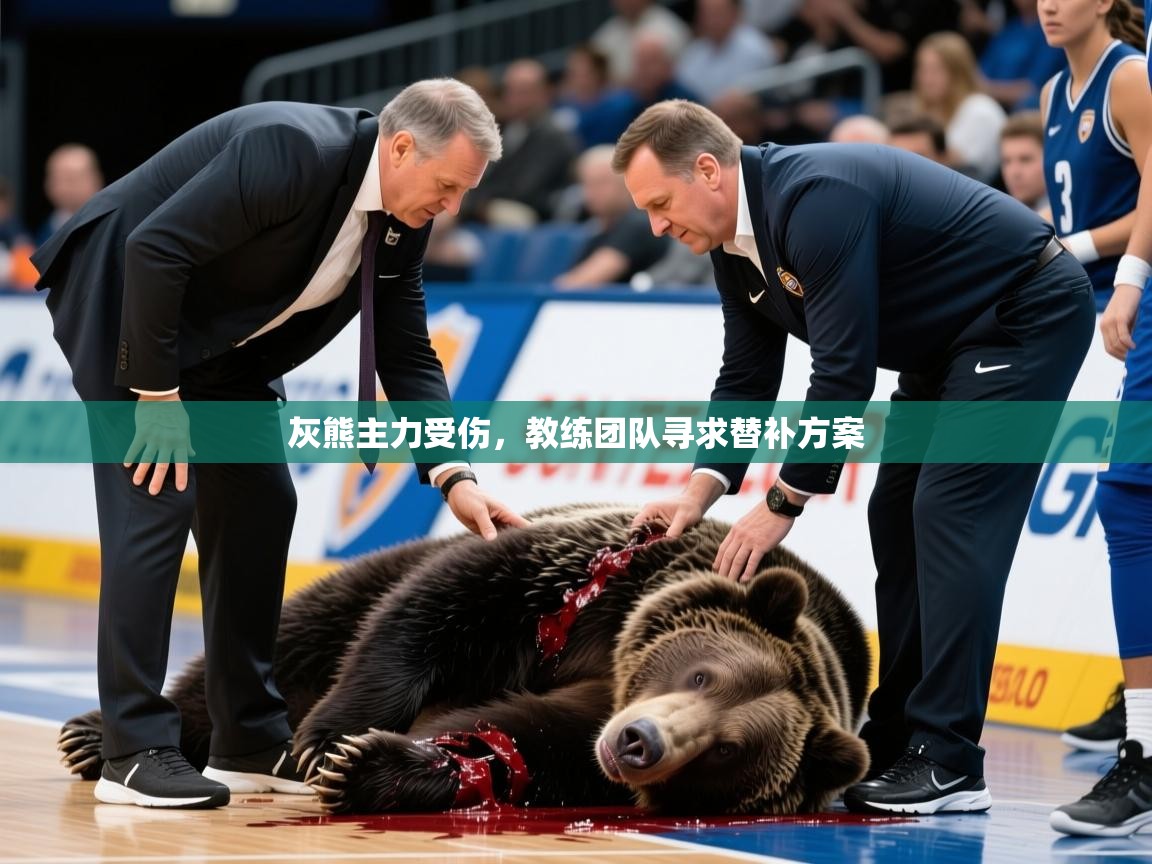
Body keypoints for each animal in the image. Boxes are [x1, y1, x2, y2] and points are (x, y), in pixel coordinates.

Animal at [57, 503, 871, 815]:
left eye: (728, 749)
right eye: (702, 671)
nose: (641, 741)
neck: (617, 664)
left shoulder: (587, 721)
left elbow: (517, 741)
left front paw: (368, 767)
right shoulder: (602, 586)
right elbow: (452, 606)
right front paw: (328, 740)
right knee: (305, 629)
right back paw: (98, 738)